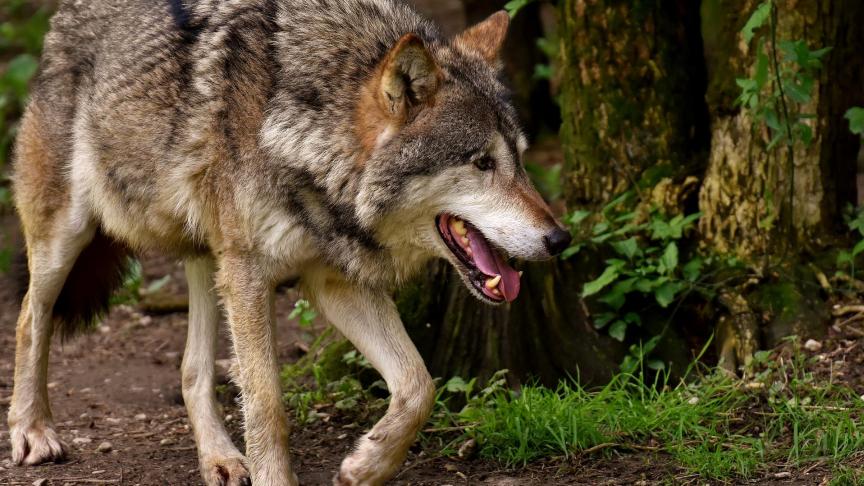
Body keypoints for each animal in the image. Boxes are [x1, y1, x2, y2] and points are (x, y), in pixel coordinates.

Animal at [7, 0, 571, 484]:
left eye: (521, 160)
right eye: (482, 162)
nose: (560, 238)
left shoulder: (333, 281)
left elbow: (419, 385)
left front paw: (366, 465)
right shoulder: (251, 275)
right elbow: (267, 403)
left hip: (209, 259)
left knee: (192, 370)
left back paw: (220, 458)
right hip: (69, 236)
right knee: (29, 318)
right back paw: (32, 431)